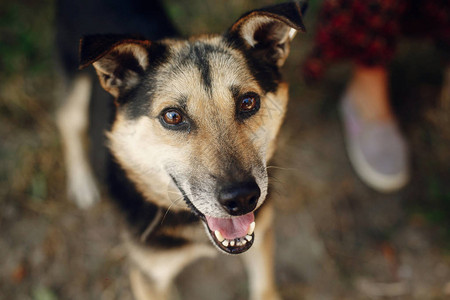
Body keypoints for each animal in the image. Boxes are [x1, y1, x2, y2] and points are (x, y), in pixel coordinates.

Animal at [55, 1, 306, 298]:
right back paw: (82, 183)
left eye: (248, 102)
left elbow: (264, 288)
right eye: (173, 116)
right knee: (68, 120)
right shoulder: (149, 275)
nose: (243, 198)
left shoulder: (263, 236)